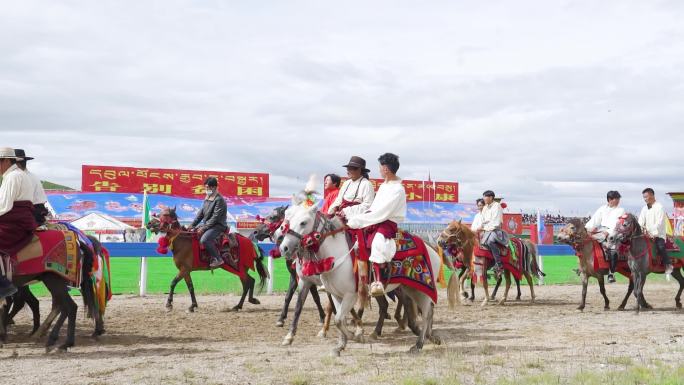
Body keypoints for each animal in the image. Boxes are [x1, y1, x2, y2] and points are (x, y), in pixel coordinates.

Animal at [280, 202, 444, 356]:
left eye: (303, 222)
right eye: (287, 221)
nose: (284, 248)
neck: (336, 254)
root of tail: (430, 247)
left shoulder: (350, 294)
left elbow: (338, 319)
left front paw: (357, 336)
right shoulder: (334, 294)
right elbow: (339, 319)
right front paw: (340, 345)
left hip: (421, 289)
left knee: (426, 312)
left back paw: (419, 343)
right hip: (409, 288)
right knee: (422, 308)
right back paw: (429, 336)